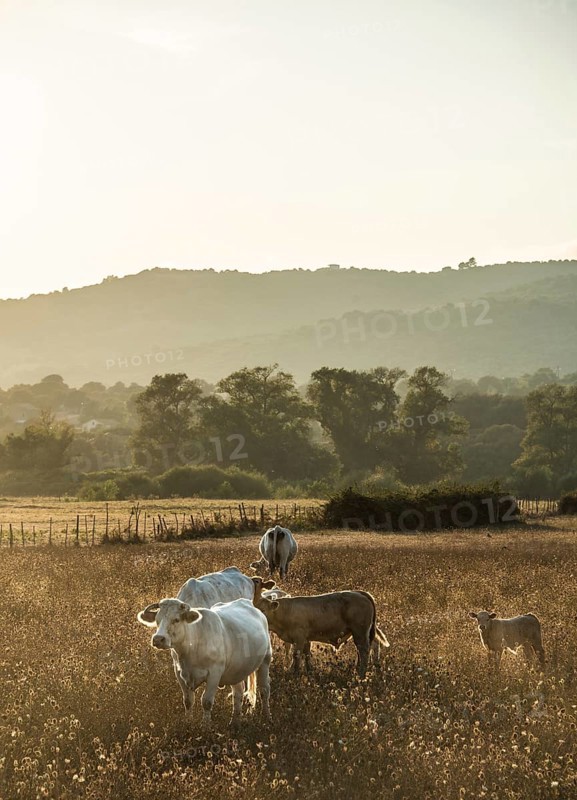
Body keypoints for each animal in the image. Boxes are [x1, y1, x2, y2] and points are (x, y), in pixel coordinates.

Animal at [137, 597, 272, 726]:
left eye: (176, 620)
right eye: (157, 620)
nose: (158, 639)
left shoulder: (215, 673)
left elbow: (206, 702)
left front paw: (205, 727)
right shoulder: (179, 673)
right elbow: (188, 701)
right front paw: (188, 723)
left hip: (265, 660)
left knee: (264, 690)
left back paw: (266, 718)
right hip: (237, 670)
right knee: (238, 693)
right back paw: (234, 723)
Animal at [251, 577, 389, 678]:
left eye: (263, 610)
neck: (285, 611)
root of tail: (359, 593)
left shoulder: (299, 637)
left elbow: (296, 655)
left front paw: (294, 673)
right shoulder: (306, 639)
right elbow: (307, 655)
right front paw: (309, 671)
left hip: (360, 632)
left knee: (364, 650)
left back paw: (361, 674)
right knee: (363, 649)